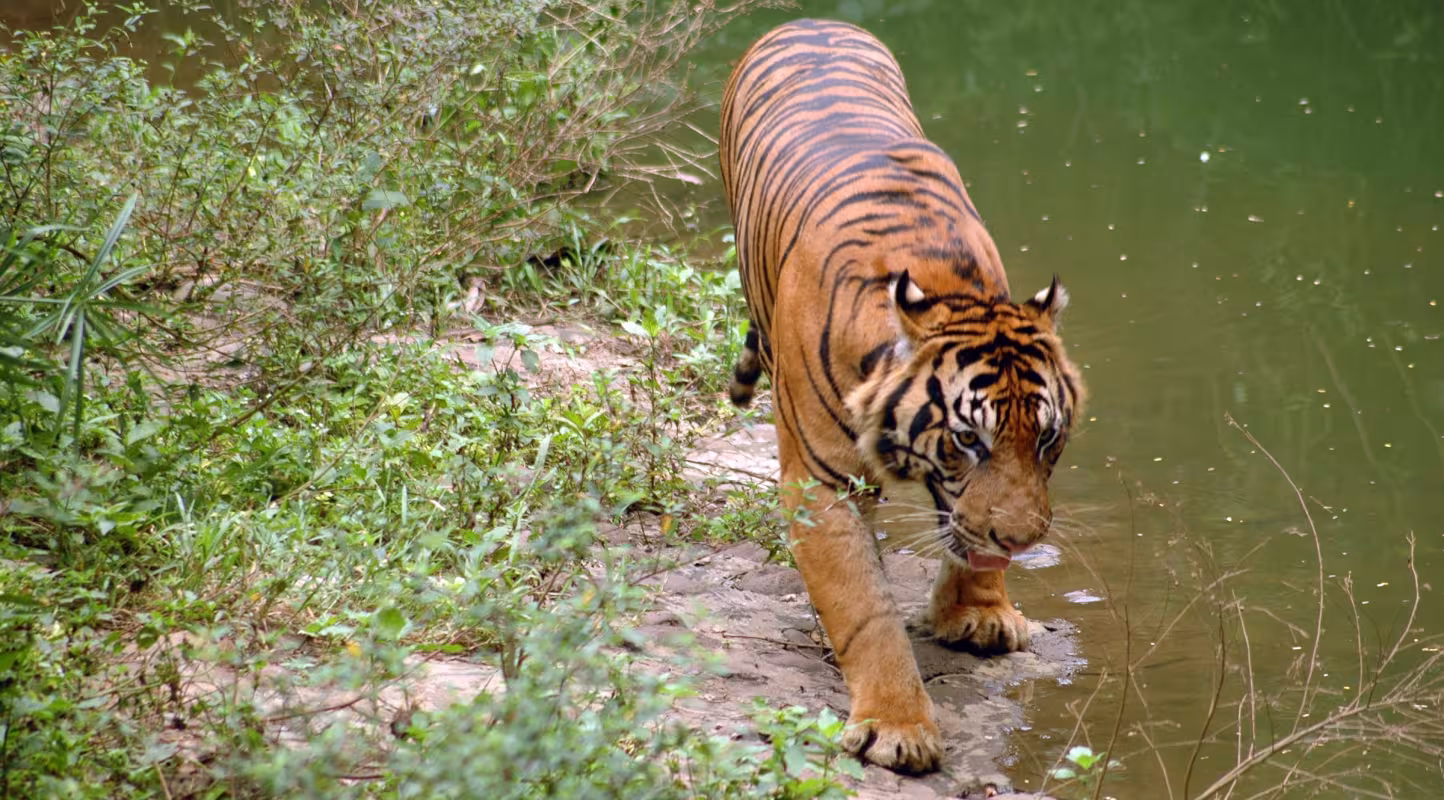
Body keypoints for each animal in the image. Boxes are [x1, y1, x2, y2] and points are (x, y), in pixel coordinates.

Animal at [719, 19, 1085, 773]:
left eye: (1045, 437)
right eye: (968, 440)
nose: (1022, 541)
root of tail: (810, 21)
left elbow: (963, 535)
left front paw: (980, 612)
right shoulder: (820, 484)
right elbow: (865, 609)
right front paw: (897, 728)